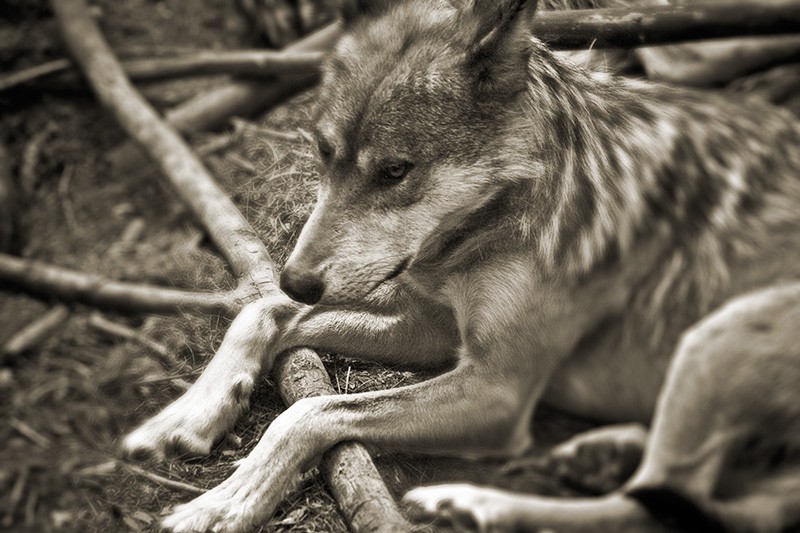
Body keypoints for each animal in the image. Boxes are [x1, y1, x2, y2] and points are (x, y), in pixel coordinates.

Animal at [123, 0, 800, 531]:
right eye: (323, 152)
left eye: (395, 171)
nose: (298, 276)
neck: (498, 217)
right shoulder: (434, 328)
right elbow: (264, 311)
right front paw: (186, 414)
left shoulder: (496, 388)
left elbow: (309, 412)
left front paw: (225, 502)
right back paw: (593, 456)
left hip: (712, 338)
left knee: (660, 505)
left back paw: (475, 503)